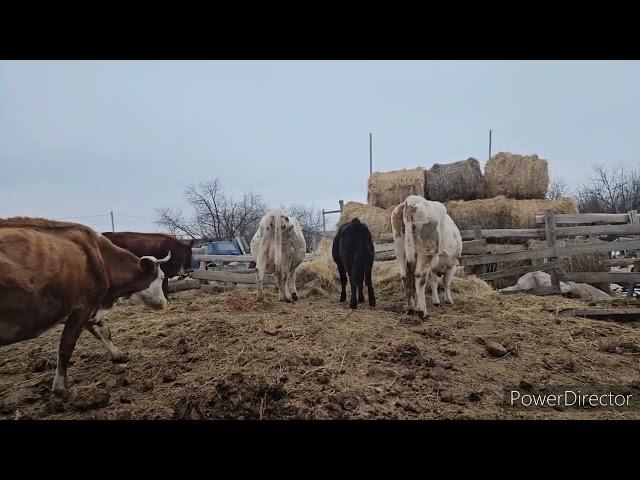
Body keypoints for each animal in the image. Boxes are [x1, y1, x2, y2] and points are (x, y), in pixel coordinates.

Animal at [0, 218, 170, 398]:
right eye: (161, 277)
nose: (163, 302)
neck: (103, 260)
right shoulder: (83, 307)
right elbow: (66, 347)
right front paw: (61, 388)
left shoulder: (90, 309)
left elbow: (104, 331)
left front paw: (119, 355)